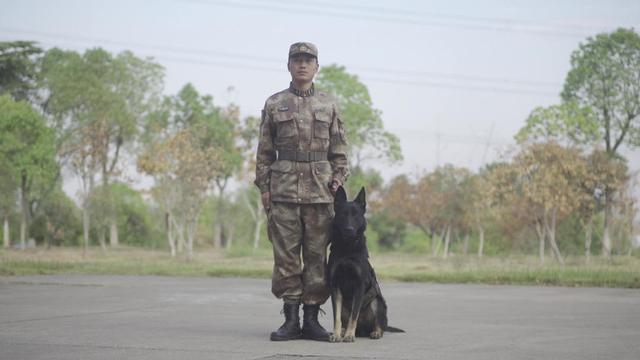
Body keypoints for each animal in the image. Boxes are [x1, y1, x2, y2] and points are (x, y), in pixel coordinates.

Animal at [328, 187, 402, 342]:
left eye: (356, 216)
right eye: (343, 215)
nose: (349, 229)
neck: (347, 249)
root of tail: (362, 329)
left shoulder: (359, 286)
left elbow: (354, 315)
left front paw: (349, 335)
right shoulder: (335, 287)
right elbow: (336, 316)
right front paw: (337, 334)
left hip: (377, 303)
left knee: (379, 324)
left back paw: (374, 332)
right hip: (345, 306)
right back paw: (343, 331)